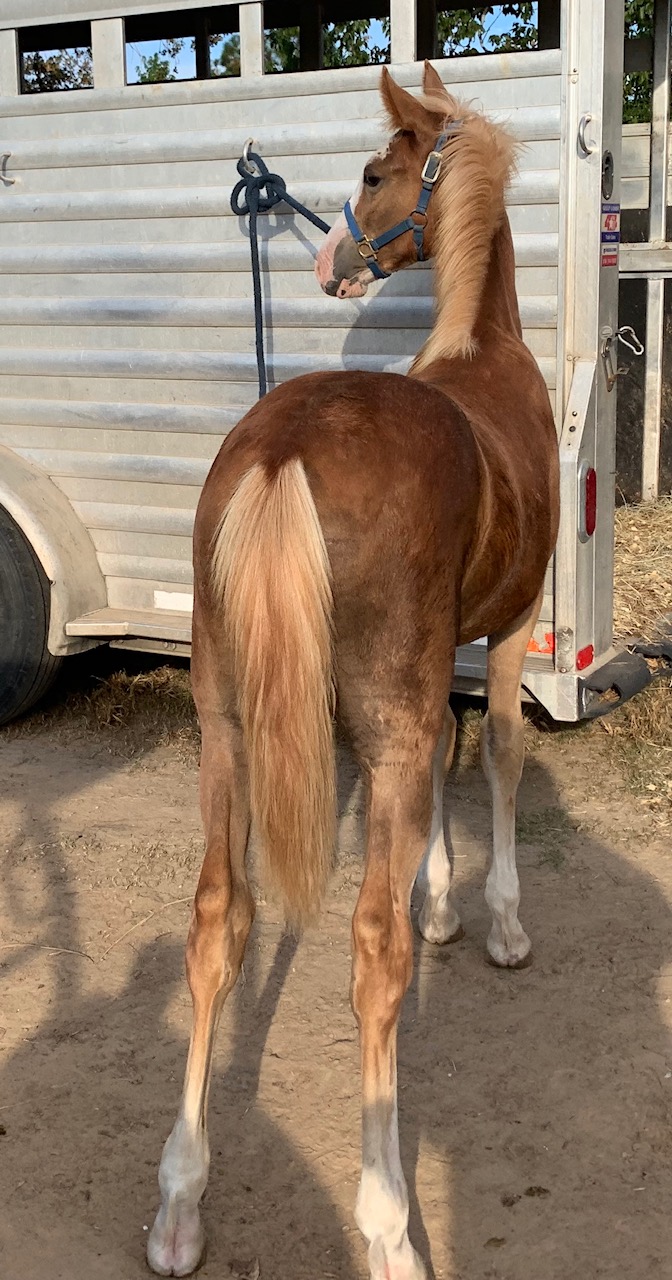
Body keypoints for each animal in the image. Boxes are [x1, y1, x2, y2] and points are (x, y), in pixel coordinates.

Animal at [147, 62, 560, 1280]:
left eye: (375, 173)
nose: (331, 257)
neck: (482, 352)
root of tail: (286, 445)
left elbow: (452, 777)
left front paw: (447, 905)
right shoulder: (509, 629)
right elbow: (501, 754)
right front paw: (499, 925)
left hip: (228, 728)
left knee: (217, 918)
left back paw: (180, 1205)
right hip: (384, 716)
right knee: (370, 955)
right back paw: (387, 1222)